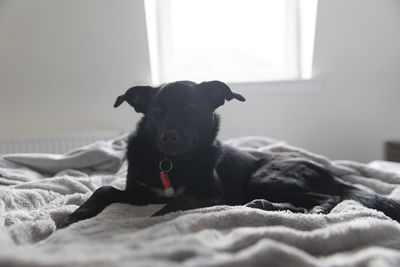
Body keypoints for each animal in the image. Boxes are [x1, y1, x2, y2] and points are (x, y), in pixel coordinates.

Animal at [57, 80, 398, 229]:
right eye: (156, 110)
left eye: (191, 106)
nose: (168, 137)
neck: (172, 163)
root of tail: (330, 173)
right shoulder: (139, 192)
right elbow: (103, 188)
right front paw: (78, 214)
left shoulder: (212, 195)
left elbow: (179, 201)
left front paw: (154, 218)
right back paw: (264, 206)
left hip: (269, 176)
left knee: (330, 198)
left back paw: (311, 209)